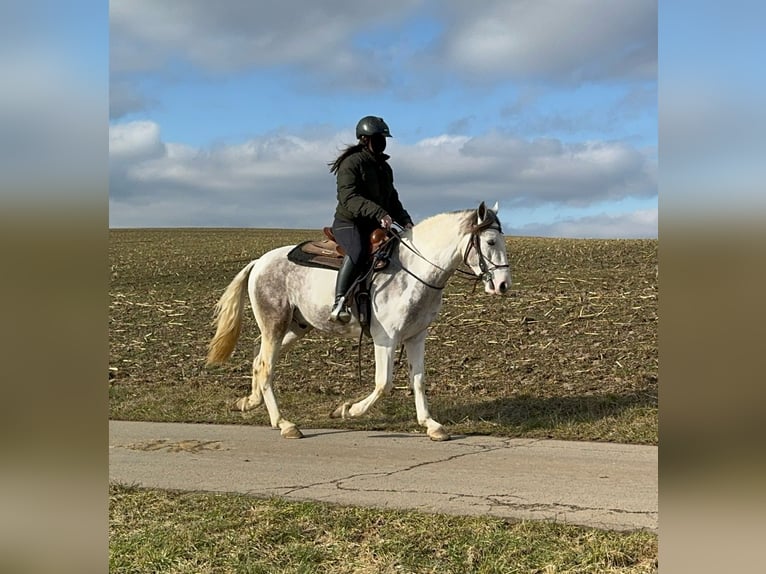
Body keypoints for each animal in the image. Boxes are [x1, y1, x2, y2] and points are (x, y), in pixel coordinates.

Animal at [207, 200, 512, 444]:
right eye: (490, 242)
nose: (503, 285)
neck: (413, 271)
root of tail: (259, 262)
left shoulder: (416, 336)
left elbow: (418, 380)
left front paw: (431, 425)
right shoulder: (385, 338)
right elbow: (383, 383)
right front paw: (347, 410)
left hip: (294, 328)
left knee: (258, 360)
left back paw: (250, 402)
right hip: (275, 324)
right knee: (267, 366)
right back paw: (285, 424)